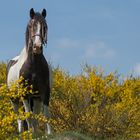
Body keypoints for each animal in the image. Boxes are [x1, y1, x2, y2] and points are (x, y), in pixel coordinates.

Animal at [6, 7, 51, 135]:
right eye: (31, 26)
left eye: (45, 26)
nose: (37, 47)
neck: (33, 65)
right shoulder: (24, 94)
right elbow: (27, 116)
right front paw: (30, 134)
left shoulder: (44, 93)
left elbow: (45, 115)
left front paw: (48, 134)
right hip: (14, 99)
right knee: (19, 117)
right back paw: (22, 133)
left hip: (35, 98)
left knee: (34, 115)